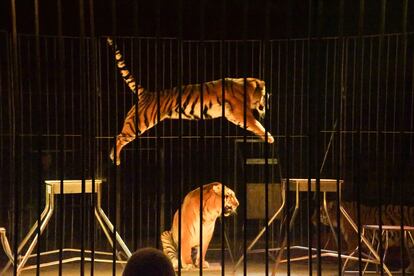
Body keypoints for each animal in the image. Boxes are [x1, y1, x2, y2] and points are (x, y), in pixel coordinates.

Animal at [106, 37, 274, 165]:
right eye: (266, 97)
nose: (267, 106)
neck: (249, 88)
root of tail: (147, 94)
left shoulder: (232, 115)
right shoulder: (240, 112)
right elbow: (256, 124)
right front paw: (270, 138)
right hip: (138, 122)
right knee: (119, 137)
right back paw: (115, 159)